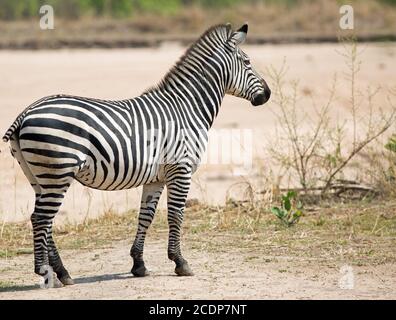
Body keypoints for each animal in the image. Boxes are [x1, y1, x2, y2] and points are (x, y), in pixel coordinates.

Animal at [2, 23, 270, 288]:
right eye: (247, 62)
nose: (267, 94)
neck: (186, 108)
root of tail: (26, 112)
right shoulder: (180, 170)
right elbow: (176, 215)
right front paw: (180, 262)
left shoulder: (157, 178)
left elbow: (146, 217)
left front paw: (138, 264)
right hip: (57, 172)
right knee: (41, 219)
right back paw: (45, 272)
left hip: (39, 177)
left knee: (44, 220)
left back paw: (62, 273)